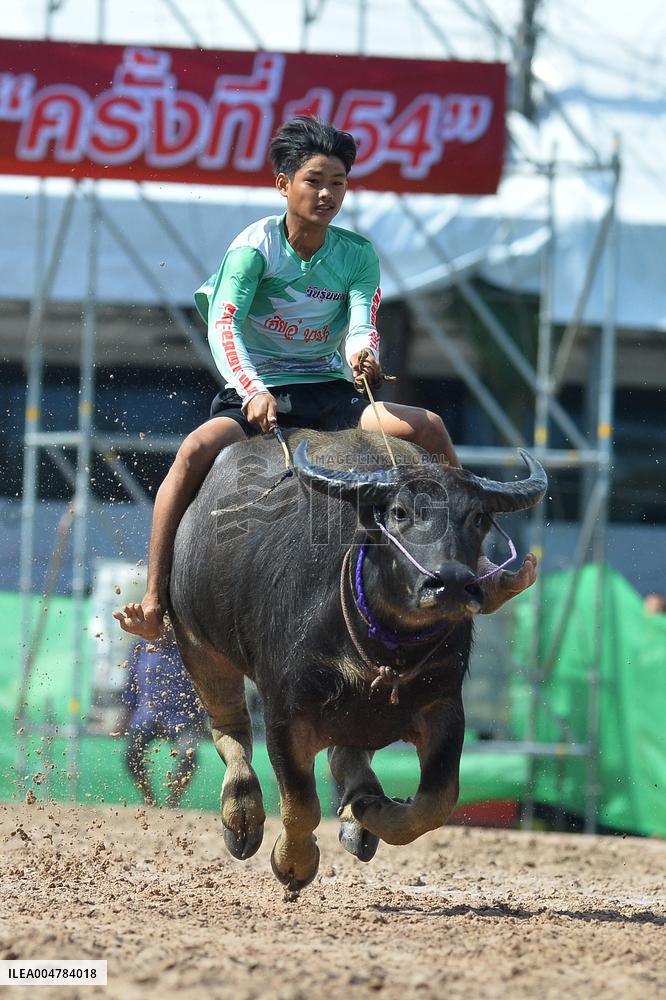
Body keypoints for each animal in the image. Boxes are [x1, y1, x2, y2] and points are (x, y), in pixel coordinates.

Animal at [168, 428, 546, 891]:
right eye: (400, 512)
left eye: (477, 518)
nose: (453, 583)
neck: (389, 646)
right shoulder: (285, 712)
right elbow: (300, 804)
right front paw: (293, 864)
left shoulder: (443, 705)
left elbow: (436, 801)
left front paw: (373, 810)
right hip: (196, 642)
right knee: (230, 728)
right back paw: (241, 816)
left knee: (346, 753)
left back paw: (359, 812)